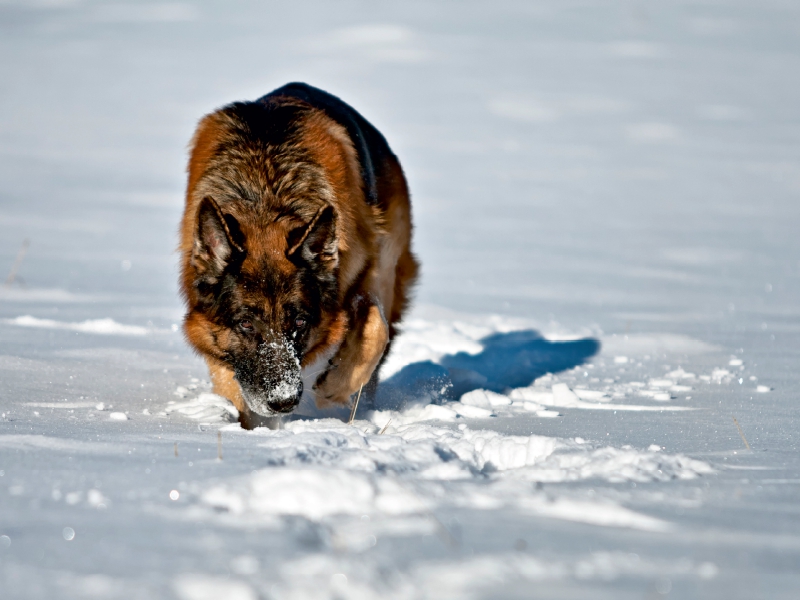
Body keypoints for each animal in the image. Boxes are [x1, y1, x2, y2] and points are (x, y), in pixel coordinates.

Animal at [180, 83, 418, 426]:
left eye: (301, 321)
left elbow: (377, 327)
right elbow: (226, 373)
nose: (284, 402)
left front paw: (334, 388)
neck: (264, 195)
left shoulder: (360, 277)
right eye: (246, 324)